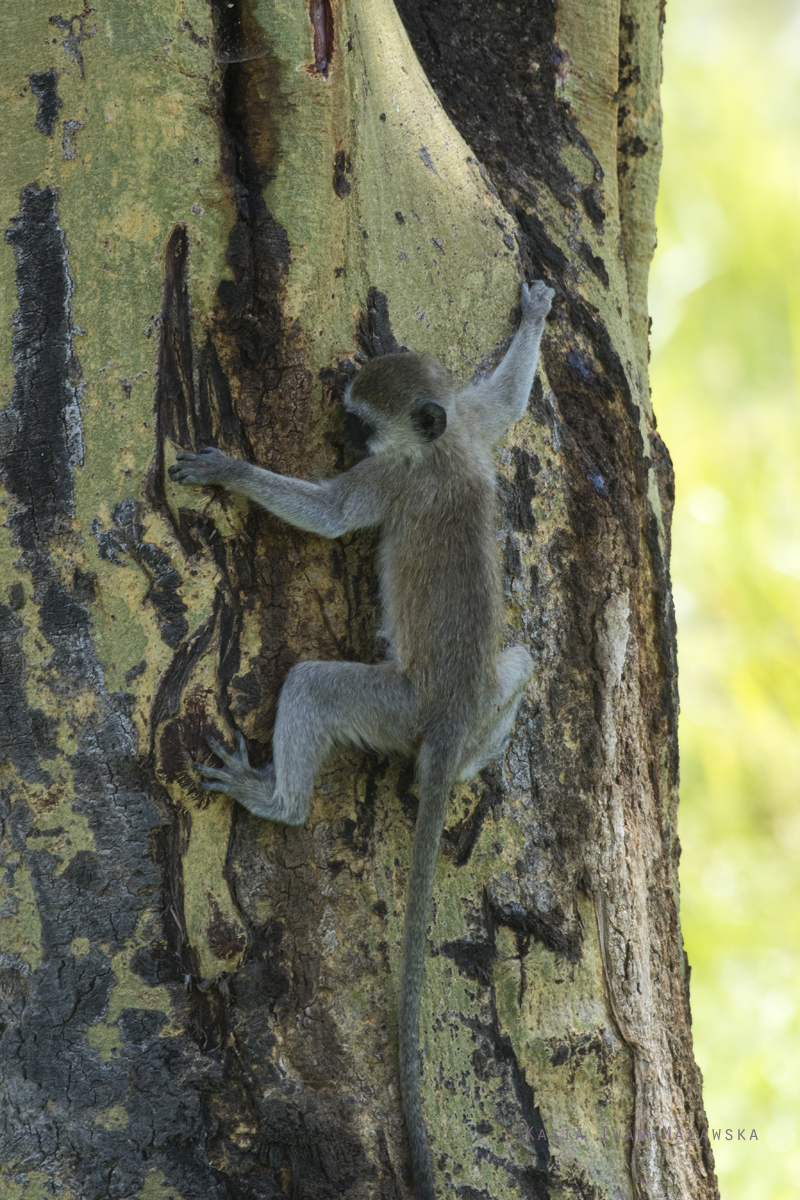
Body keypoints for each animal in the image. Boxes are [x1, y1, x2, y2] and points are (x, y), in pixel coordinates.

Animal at [169, 278, 554, 1200]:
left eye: (360, 423)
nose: (336, 430)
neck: (438, 445)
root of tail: (444, 721)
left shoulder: (387, 479)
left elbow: (334, 517)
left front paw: (232, 473)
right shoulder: (471, 419)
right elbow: (506, 404)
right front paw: (534, 316)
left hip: (389, 705)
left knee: (312, 682)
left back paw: (275, 799)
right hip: (474, 700)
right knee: (524, 658)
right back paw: (461, 768)